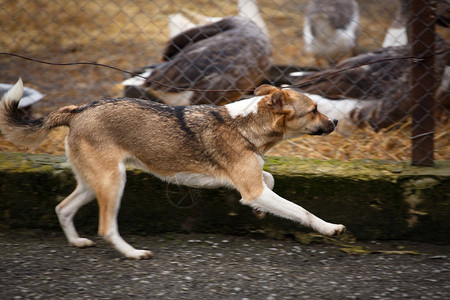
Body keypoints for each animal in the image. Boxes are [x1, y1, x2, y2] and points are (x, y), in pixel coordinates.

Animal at [0, 79, 344, 260]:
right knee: (106, 227)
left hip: (92, 182)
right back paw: (132, 253)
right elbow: (301, 210)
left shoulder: (253, 185)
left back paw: (75, 242)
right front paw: (329, 228)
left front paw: (260, 213)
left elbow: (269, 179)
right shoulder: (251, 189)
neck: (245, 124)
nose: (337, 121)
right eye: (314, 110)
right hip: (113, 181)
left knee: (63, 208)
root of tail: (77, 111)